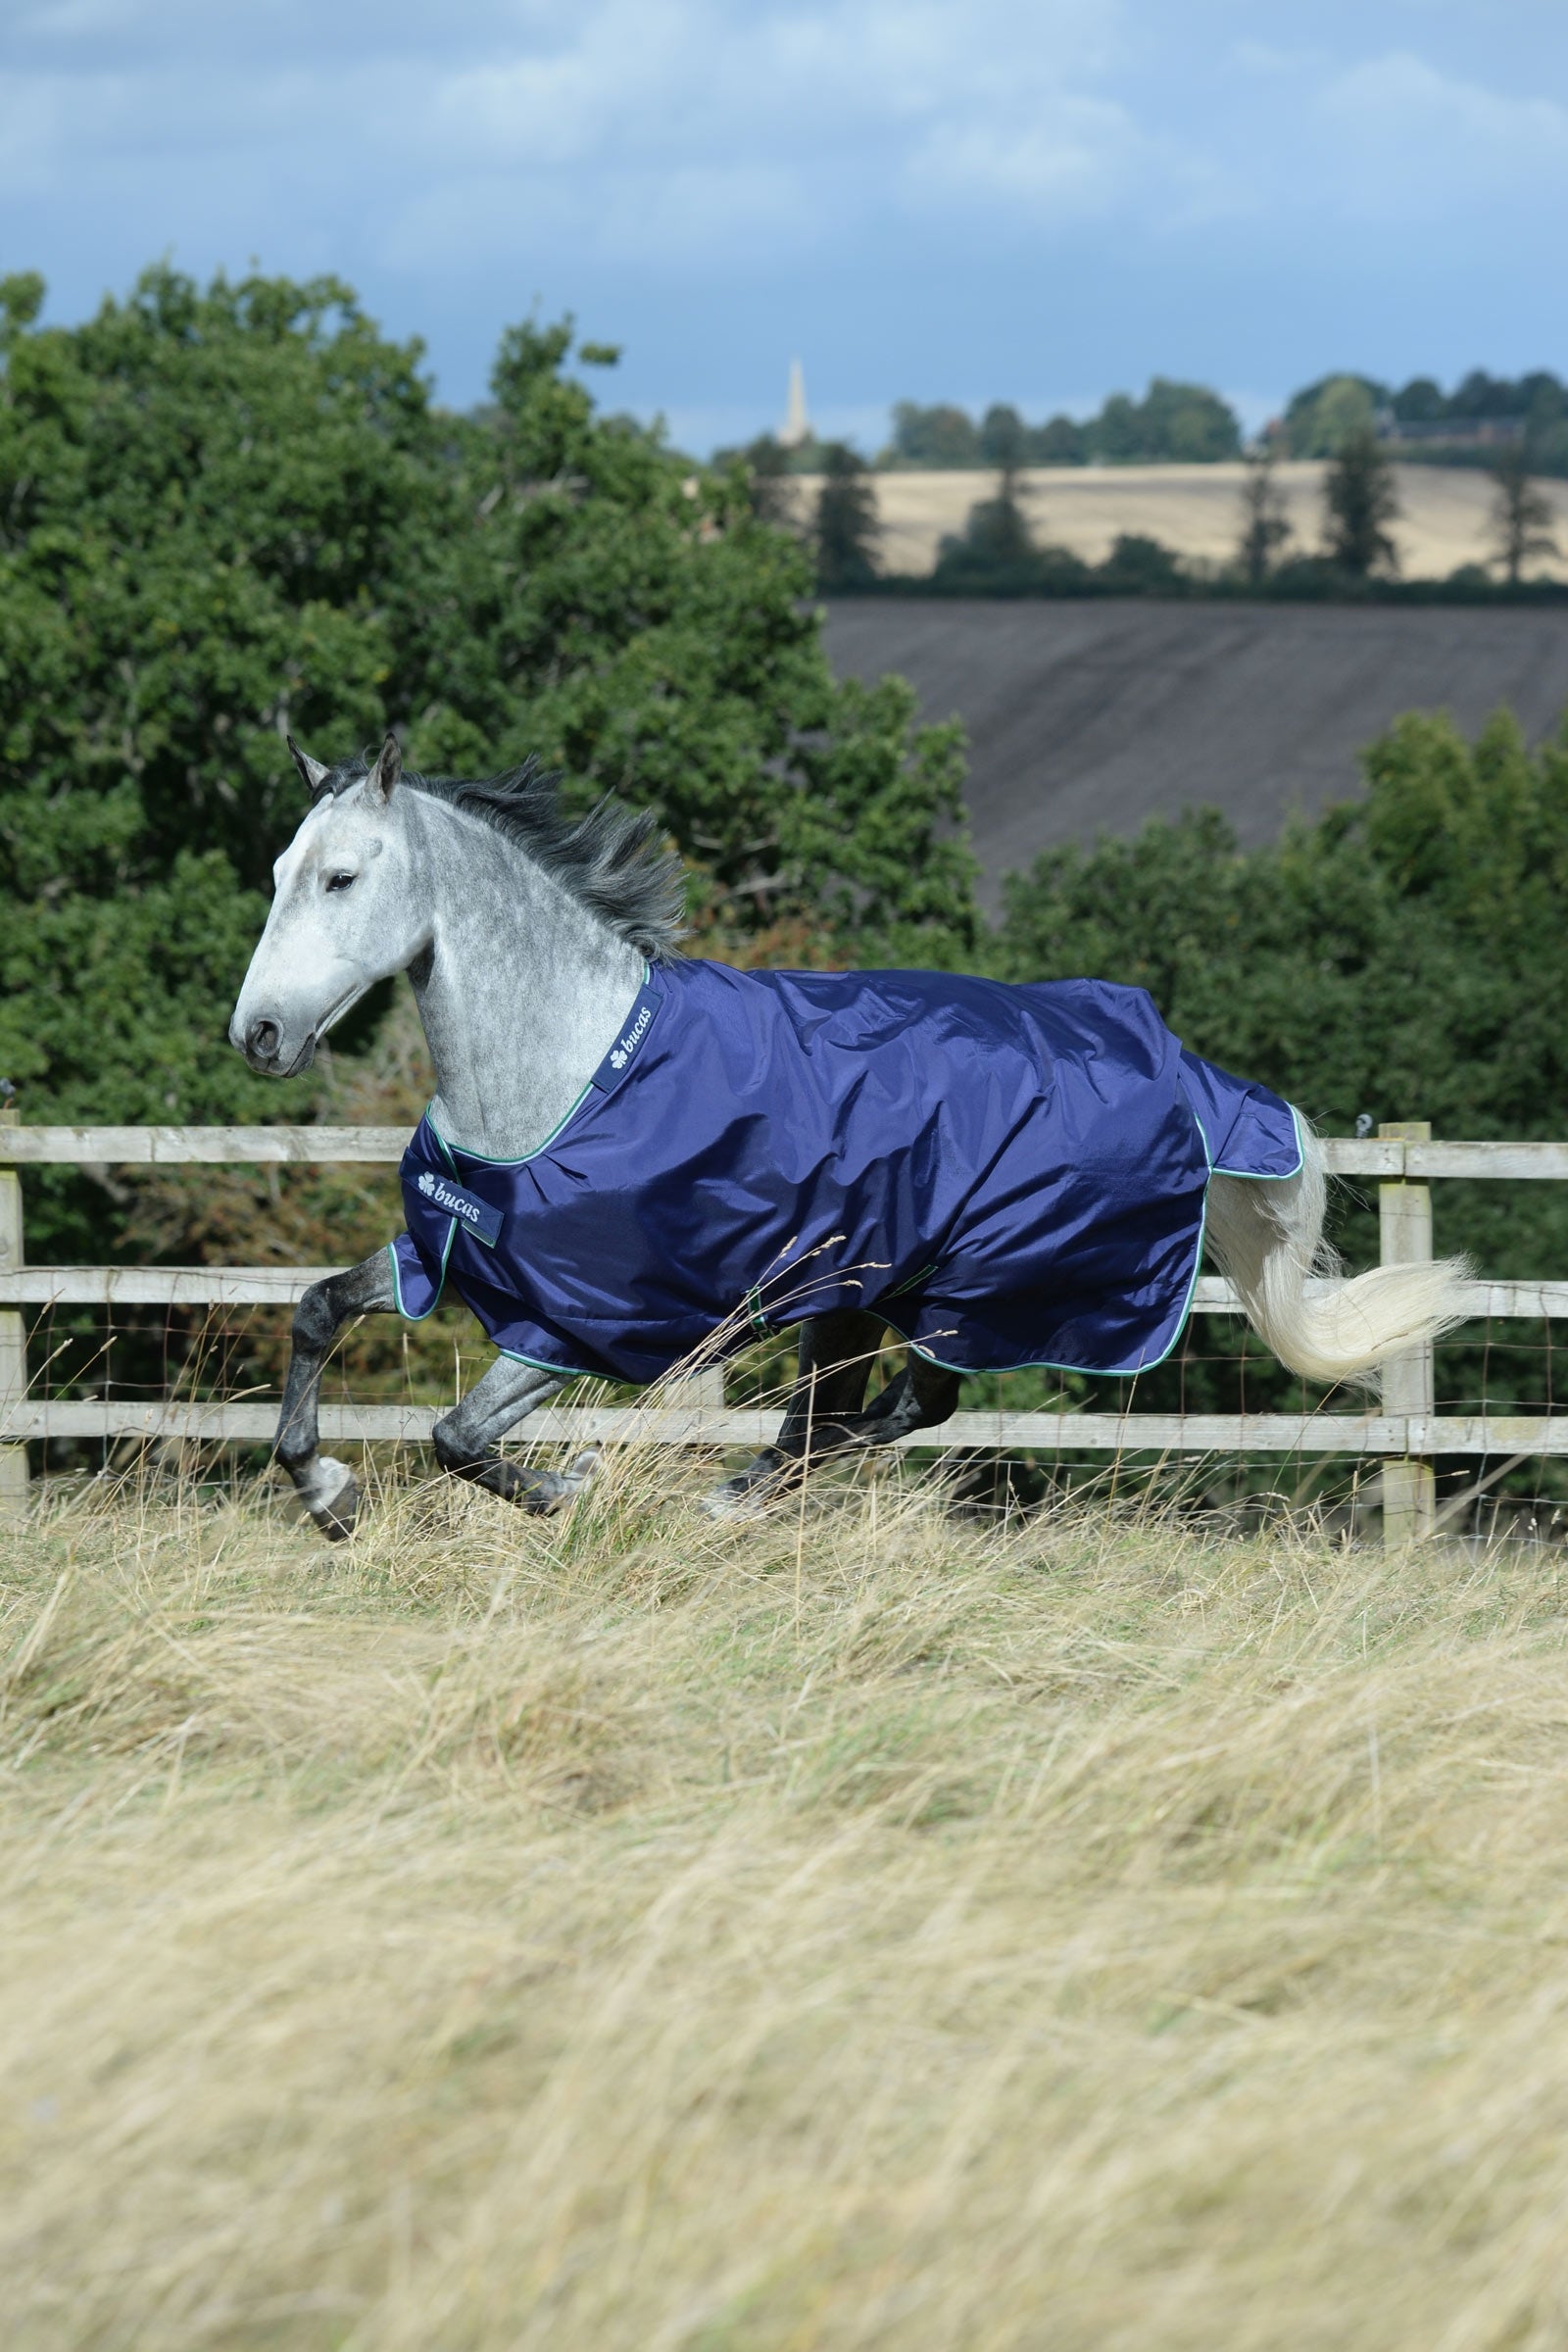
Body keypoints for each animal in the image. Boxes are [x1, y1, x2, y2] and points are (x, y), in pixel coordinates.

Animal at [231, 734, 1467, 1541]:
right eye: (280, 870)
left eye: (343, 876)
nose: (259, 1034)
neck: (571, 1069)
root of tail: (1180, 1069)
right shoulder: (451, 1253)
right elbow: (318, 1312)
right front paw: (327, 1495)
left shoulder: (575, 1321)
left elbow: (456, 1437)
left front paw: (564, 1489)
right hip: (860, 1292)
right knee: (860, 1415)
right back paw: (744, 1493)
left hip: (959, 1290)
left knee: (896, 1412)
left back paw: (727, 1499)